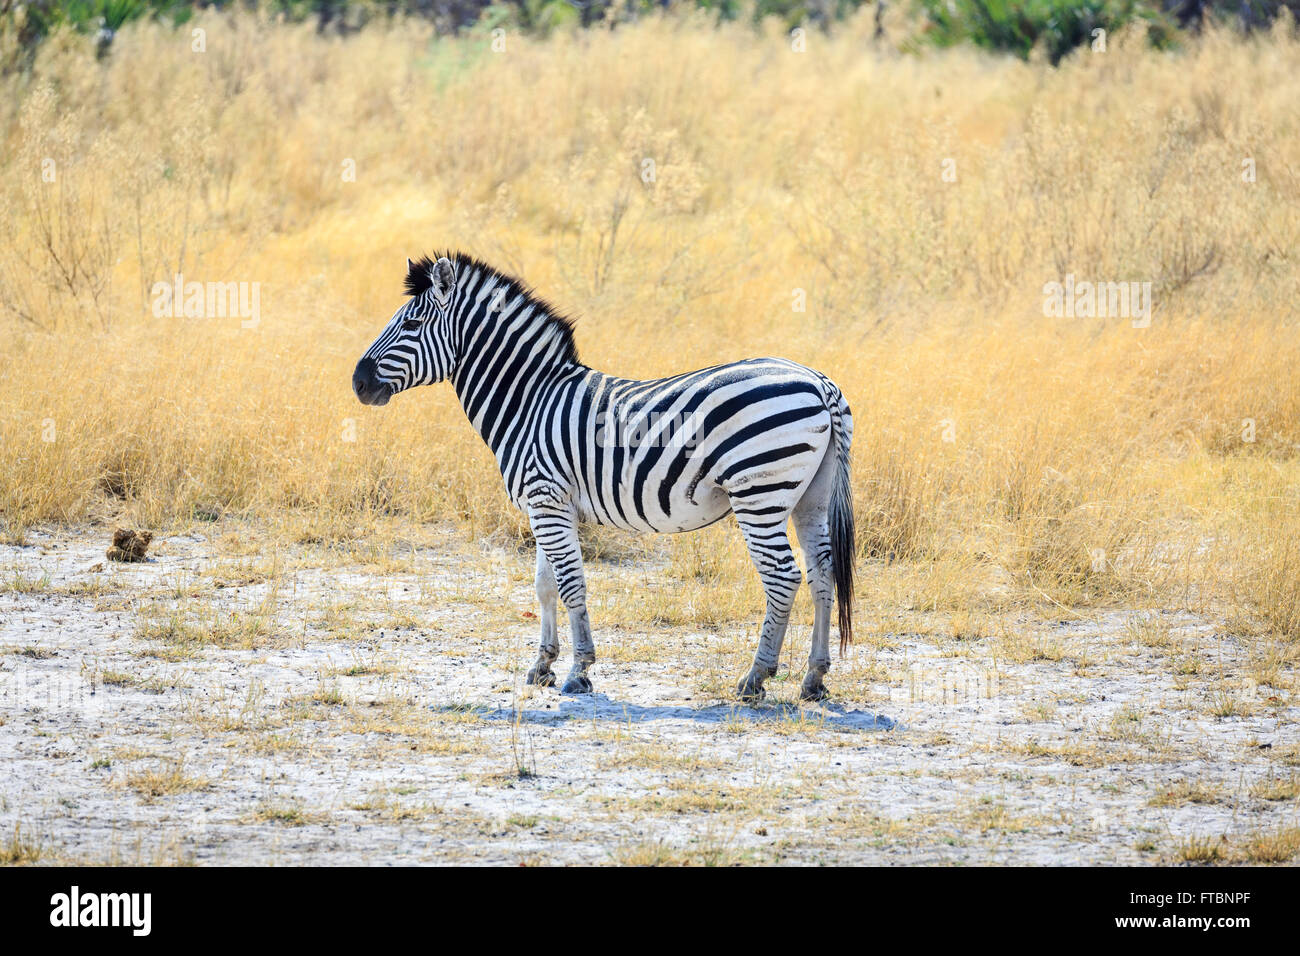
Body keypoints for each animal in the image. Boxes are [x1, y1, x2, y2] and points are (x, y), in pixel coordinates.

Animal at [353, 254, 852, 702]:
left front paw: (580, 671)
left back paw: (755, 678)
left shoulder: (546, 499)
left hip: (759, 494)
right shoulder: (546, 505)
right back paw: (814, 678)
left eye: (412, 325)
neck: (529, 401)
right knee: (822, 572)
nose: (357, 383)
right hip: (811, 496)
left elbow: (571, 583)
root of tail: (819, 382)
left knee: (783, 576)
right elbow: (544, 585)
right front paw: (542, 665)